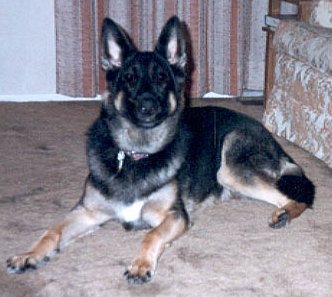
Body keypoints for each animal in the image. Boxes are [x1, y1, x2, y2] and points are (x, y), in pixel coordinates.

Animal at [7, 15, 314, 282]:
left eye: (161, 78)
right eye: (129, 78)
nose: (147, 106)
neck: (136, 155)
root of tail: (270, 137)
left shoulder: (174, 217)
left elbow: (151, 234)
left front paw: (140, 265)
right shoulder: (88, 212)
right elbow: (52, 231)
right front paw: (29, 254)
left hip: (229, 165)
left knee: (295, 198)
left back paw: (284, 214)